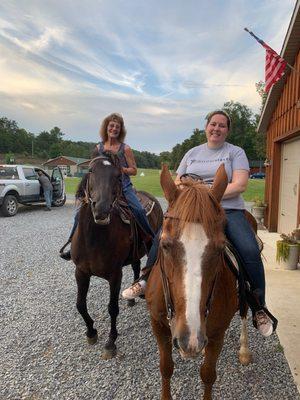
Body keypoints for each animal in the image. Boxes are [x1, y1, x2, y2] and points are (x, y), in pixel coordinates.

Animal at [70, 154, 163, 360]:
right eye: (91, 170)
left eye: (118, 176)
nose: (101, 209)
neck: (94, 239)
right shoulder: (81, 272)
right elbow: (80, 304)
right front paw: (91, 332)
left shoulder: (114, 275)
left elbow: (112, 308)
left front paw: (110, 343)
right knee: (136, 266)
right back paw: (132, 297)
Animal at [146, 164, 252, 400]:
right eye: (164, 245)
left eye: (221, 248)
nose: (190, 339)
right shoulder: (158, 324)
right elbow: (165, 368)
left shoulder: (218, 333)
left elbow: (208, 374)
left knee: (244, 312)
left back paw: (244, 350)